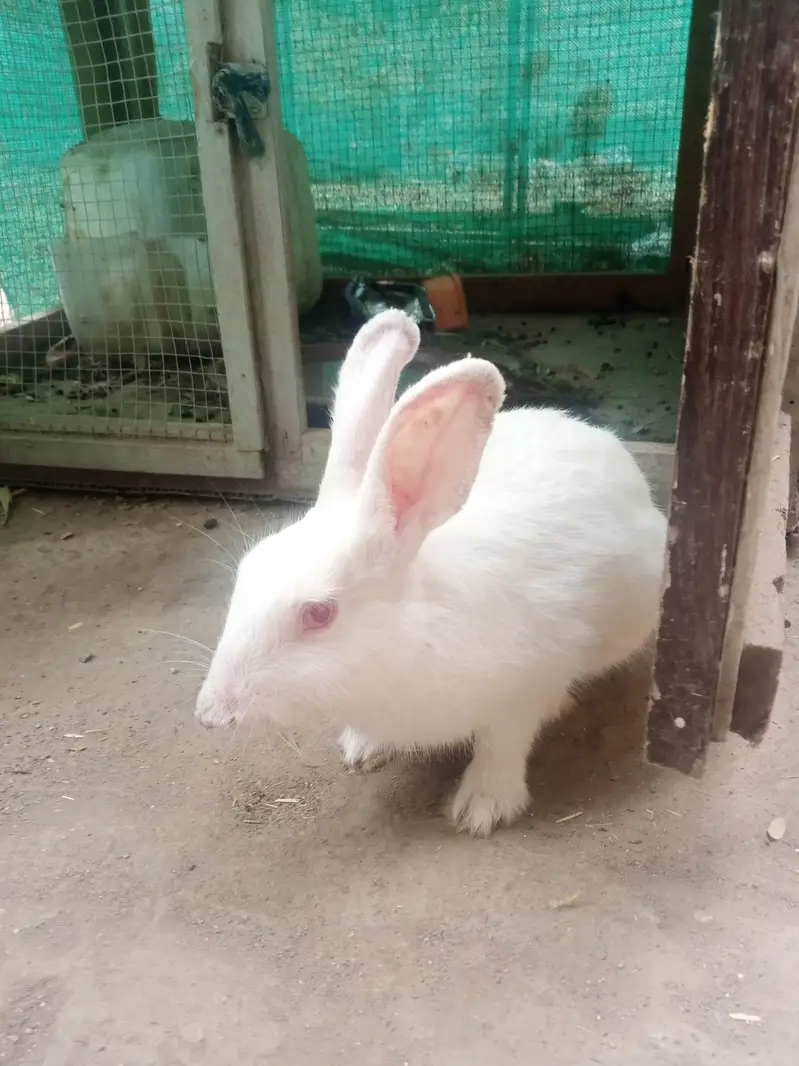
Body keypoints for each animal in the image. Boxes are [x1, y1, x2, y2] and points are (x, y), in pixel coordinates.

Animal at [195, 309, 667, 836]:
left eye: (319, 613)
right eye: (246, 571)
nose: (211, 712)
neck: (414, 636)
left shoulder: (524, 685)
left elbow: (505, 742)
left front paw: (482, 808)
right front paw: (362, 749)